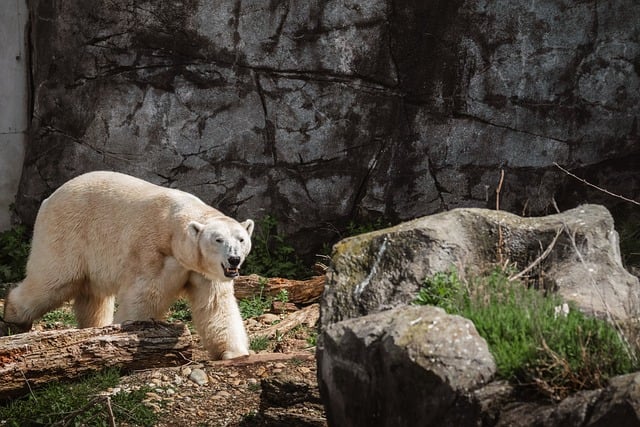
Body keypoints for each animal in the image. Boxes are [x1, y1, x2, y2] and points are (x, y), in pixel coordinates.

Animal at [2, 171, 254, 360]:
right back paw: (14, 318)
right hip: (67, 231)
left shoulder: (202, 270)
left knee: (91, 295)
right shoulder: (150, 253)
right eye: (218, 239)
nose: (234, 259)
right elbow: (144, 298)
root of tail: (49, 198)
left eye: (241, 239)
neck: (174, 235)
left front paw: (235, 353)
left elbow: (215, 304)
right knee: (53, 280)